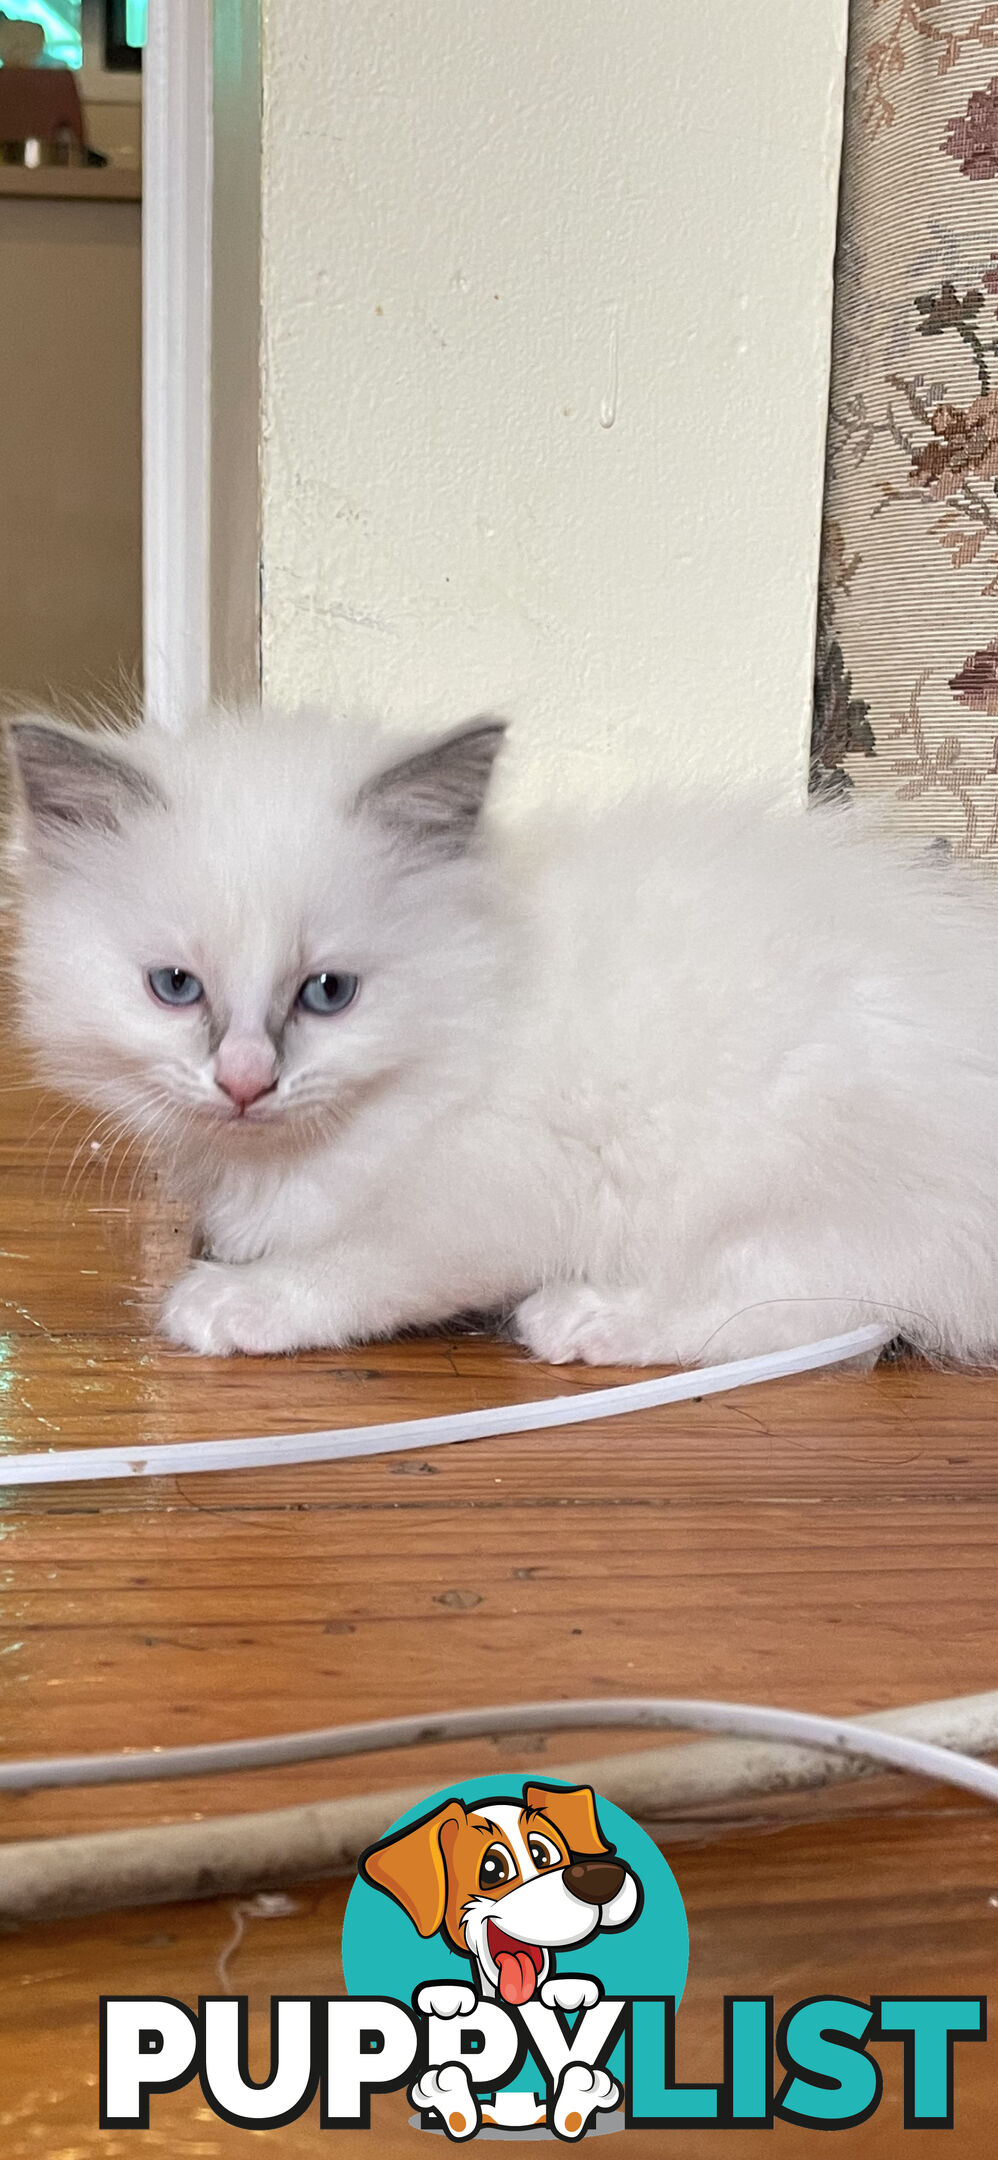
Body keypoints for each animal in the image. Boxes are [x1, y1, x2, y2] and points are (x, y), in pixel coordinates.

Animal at [5, 708, 998, 1365]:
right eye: (176, 988)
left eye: (328, 993)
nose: (246, 1080)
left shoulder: (499, 1186)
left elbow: (361, 1265)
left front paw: (234, 1301)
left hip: (779, 1163)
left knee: (799, 1308)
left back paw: (581, 1321)